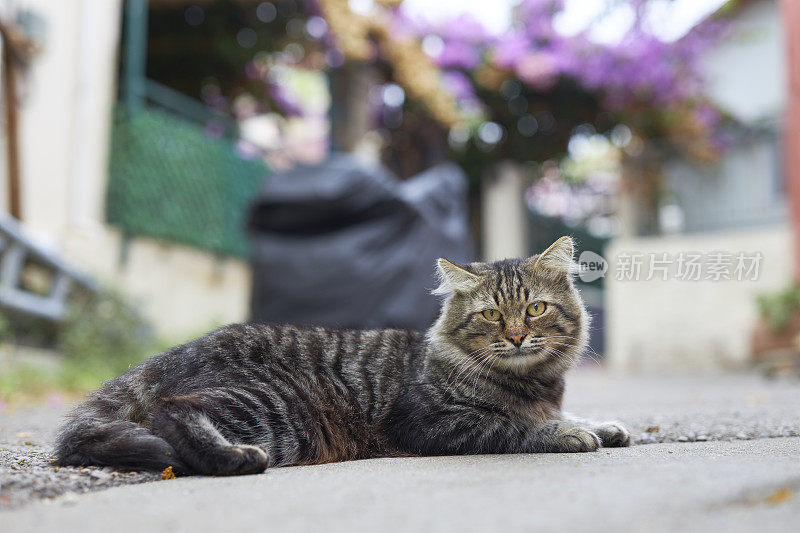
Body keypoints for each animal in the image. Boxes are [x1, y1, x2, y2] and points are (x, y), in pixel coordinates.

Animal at [54, 237, 632, 474]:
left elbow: (565, 414)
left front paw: (603, 425)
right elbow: (516, 426)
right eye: (491, 315)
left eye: (534, 309)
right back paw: (232, 458)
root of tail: (171, 354)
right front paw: (567, 434)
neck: (534, 383)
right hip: (278, 407)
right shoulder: (433, 424)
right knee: (170, 413)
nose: (513, 337)